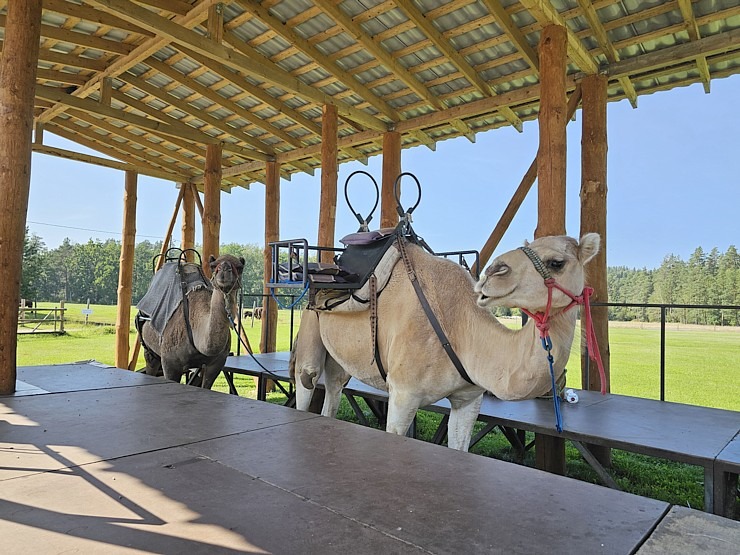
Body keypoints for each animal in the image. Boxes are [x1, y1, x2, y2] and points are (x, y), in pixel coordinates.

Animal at [290, 233, 600, 452]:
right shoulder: (403, 393)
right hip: (309, 319)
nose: (494, 272)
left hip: (339, 356)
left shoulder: (469, 398)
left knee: (334, 385)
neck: (460, 327)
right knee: (307, 377)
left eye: (557, 263)